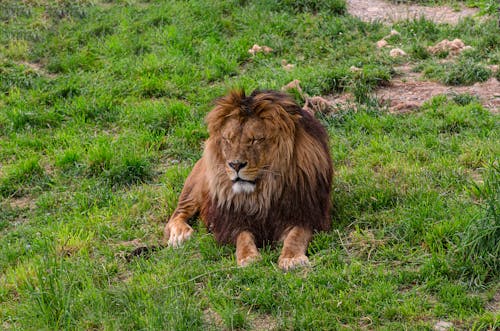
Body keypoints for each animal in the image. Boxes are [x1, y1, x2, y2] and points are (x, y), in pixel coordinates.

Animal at [164, 89, 334, 272]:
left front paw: (292, 259)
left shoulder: (307, 215)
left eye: (255, 140)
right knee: (177, 213)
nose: (235, 164)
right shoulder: (235, 220)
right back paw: (180, 233)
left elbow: (296, 236)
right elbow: (243, 237)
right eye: (228, 139)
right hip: (194, 187)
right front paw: (248, 258)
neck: (264, 192)